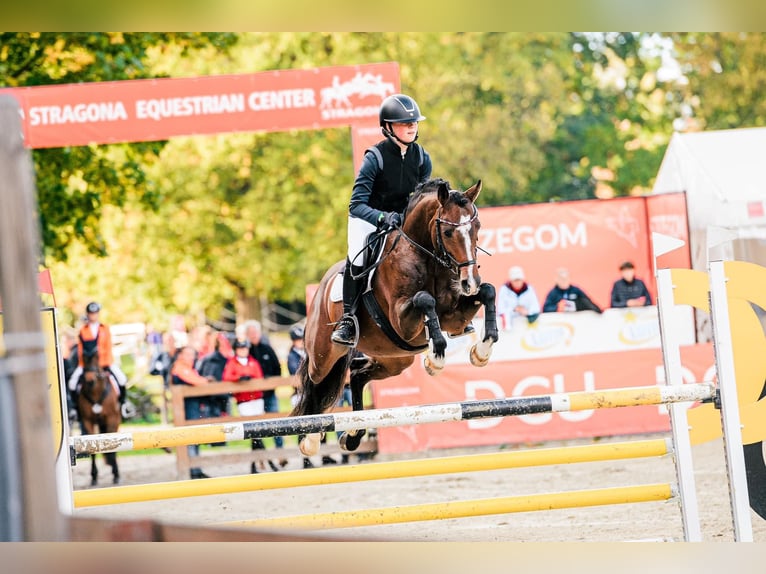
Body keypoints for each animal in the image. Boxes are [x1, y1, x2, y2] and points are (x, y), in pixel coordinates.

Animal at [78, 352, 121, 486]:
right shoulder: (87, 421)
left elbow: (113, 450)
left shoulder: (112, 419)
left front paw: (116, 474)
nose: (90, 381)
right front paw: (94, 476)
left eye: (96, 363)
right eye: (85, 366)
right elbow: (91, 450)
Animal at [292, 178, 500, 456]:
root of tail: (320, 289)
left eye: (477, 227)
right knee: (316, 382)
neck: (427, 257)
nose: (470, 282)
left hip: (395, 359)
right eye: (447, 233)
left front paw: (481, 352)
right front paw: (435, 357)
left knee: (357, 375)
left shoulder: (453, 317)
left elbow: (489, 291)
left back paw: (353, 435)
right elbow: (425, 299)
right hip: (323, 353)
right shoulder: (403, 322)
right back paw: (310, 438)